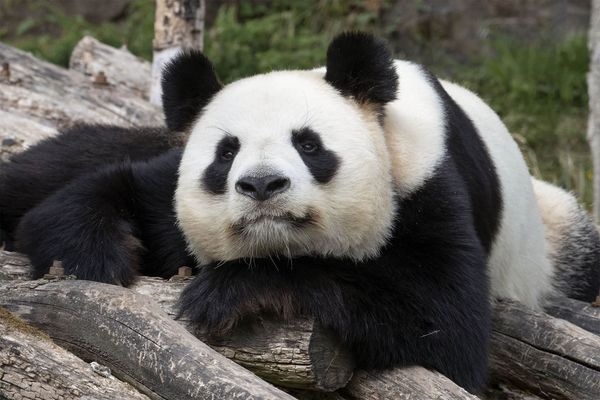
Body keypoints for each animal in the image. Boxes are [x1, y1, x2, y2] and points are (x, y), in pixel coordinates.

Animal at [1, 32, 600, 390]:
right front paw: (94, 255)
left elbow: (446, 328)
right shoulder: (168, 183)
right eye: (226, 152)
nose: (262, 184)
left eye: (309, 145)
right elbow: (102, 192)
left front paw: (235, 290)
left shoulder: (425, 185)